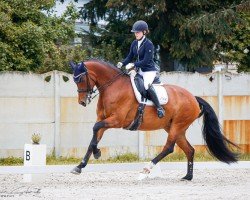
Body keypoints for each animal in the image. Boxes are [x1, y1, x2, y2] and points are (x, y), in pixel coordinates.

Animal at [69, 59, 238, 180]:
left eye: (81, 79)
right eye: (74, 80)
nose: (82, 102)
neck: (112, 87)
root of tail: (194, 98)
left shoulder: (117, 120)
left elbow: (95, 128)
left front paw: (96, 153)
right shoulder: (104, 119)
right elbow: (94, 137)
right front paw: (81, 165)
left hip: (177, 126)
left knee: (169, 148)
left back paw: (146, 169)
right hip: (175, 128)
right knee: (189, 149)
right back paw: (188, 176)